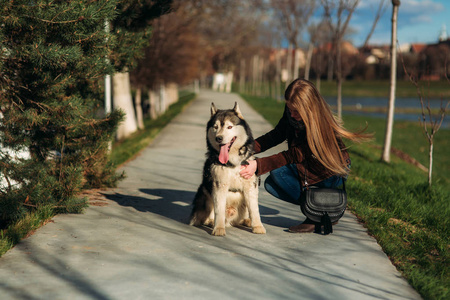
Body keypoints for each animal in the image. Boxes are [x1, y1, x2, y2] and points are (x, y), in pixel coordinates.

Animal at [189, 103, 266, 237]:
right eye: (215, 127)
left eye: (229, 127)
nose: (219, 138)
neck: (233, 163)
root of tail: (231, 219)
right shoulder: (219, 185)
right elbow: (219, 210)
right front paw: (219, 228)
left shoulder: (250, 186)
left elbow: (255, 210)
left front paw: (257, 226)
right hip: (205, 192)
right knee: (206, 215)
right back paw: (211, 222)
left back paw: (247, 220)